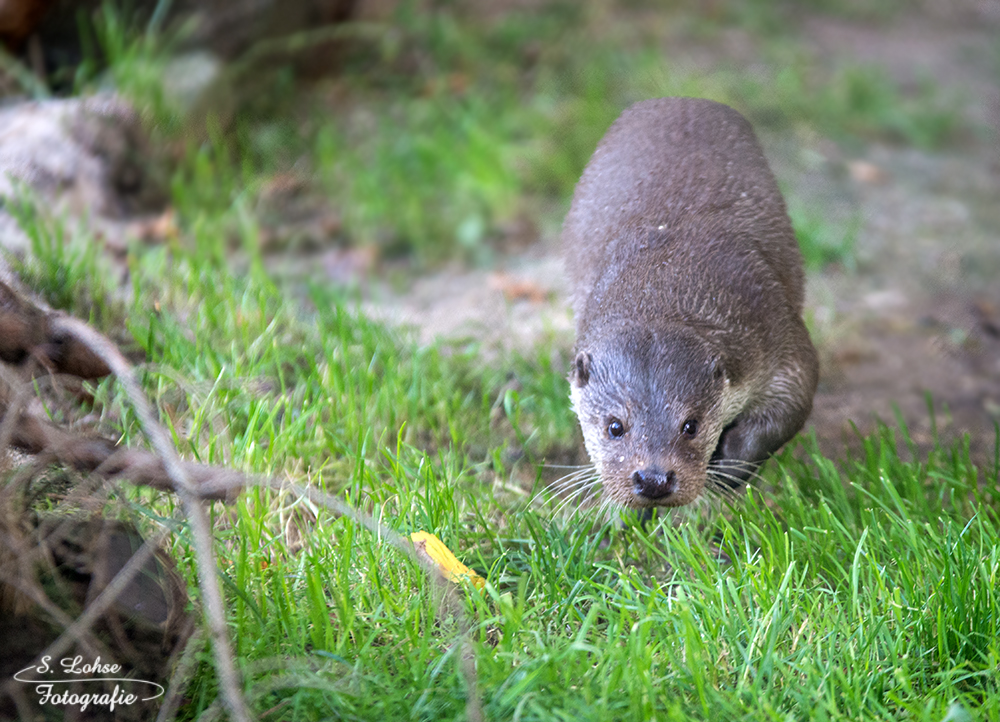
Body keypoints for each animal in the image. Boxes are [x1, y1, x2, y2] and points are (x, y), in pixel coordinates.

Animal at [568, 98, 816, 510]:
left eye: (691, 425)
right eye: (615, 427)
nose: (653, 479)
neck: (666, 274)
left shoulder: (773, 331)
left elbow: (791, 406)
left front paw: (729, 468)